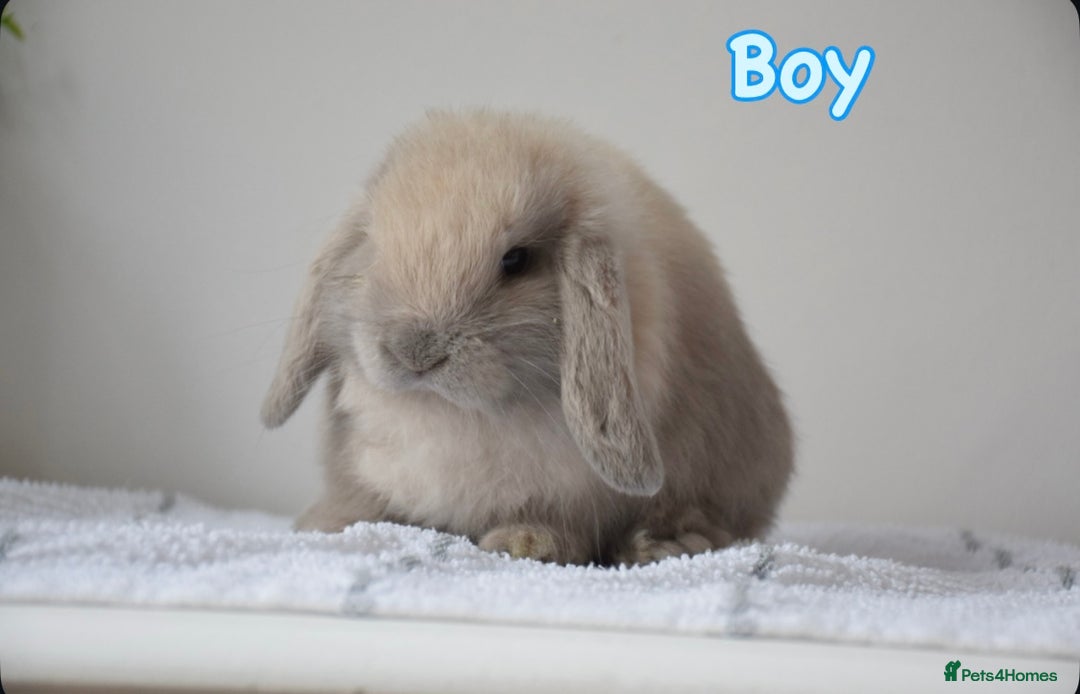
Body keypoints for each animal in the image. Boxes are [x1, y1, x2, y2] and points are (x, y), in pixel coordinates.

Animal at [261, 110, 793, 566]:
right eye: (372, 243)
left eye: (516, 261)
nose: (415, 352)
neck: (450, 413)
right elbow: (361, 501)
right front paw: (325, 524)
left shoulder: (570, 490)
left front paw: (525, 542)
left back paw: (659, 544)